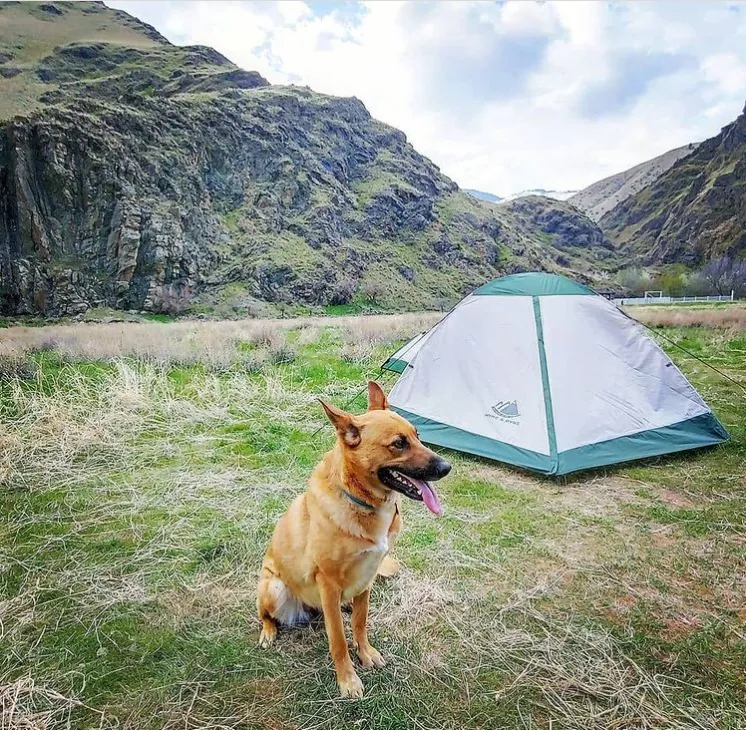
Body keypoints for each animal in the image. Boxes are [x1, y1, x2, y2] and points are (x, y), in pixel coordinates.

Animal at [256, 382, 450, 692]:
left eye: (417, 436)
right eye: (399, 444)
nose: (446, 468)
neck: (362, 502)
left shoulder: (366, 578)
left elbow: (360, 622)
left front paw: (365, 652)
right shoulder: (328, 583)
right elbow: (338, 639)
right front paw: (347, 679)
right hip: (273, 588)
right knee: (265, 615)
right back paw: (268, 631)